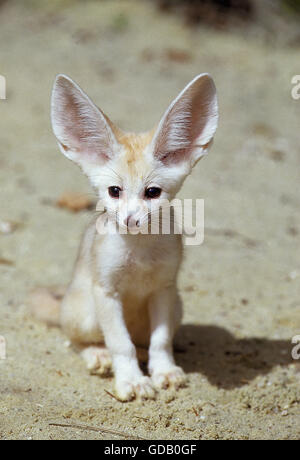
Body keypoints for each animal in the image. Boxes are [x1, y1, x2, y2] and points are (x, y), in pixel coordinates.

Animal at [49, 73, 218, 400]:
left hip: (177, 307)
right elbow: (119, 343)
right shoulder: (106, 291)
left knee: (144, 342)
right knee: (76, 340)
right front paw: (131, 380)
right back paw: (97, 354)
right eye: (115, 191)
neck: (139, 252)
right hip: (87, 313)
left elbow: (161, 341)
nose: (130, 220)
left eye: (152, 192)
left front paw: (163, 371)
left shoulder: (164, 289)